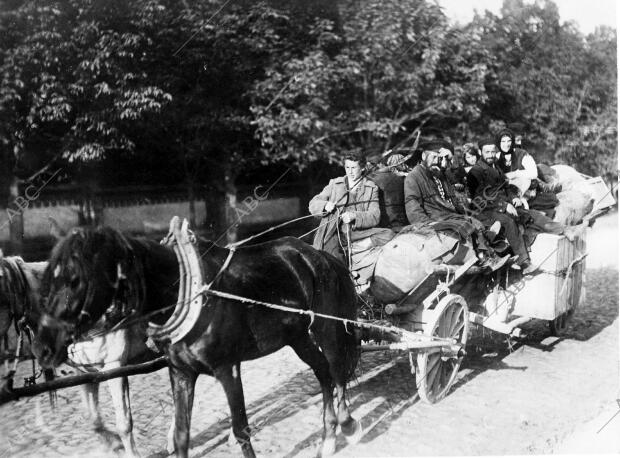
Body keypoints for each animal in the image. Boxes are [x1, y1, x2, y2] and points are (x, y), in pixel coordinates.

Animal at [34, 226, 360, 458]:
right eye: (47, 280)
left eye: (75, 279)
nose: (42, 348)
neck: (185, 292)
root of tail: (318, 255)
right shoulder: (181, 372)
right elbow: (181, 434)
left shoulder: (228, 369)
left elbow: (241, 429)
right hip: (297, 337)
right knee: (322, 371)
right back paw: (329, 438)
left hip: (327, 328)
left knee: (336, 371)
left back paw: (345, 424)